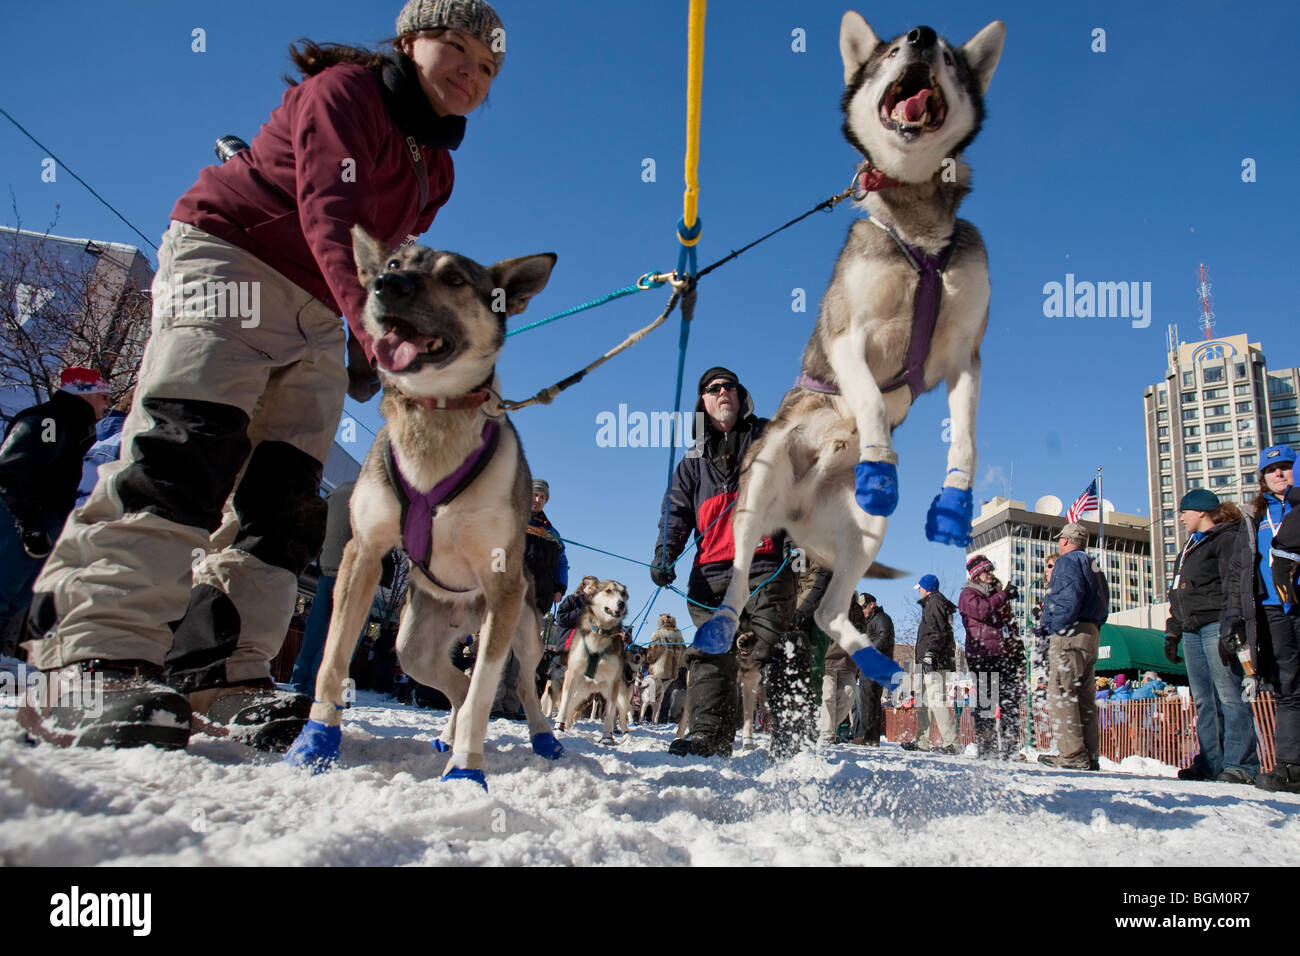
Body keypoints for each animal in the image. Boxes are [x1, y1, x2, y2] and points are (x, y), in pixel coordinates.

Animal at [287, 226, 561, 790]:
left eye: (454, 278)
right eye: (394, 263)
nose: (386, 285)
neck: (437, 418)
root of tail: (464, 611)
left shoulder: (502, 583)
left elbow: (484, 693)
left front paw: (467, 769)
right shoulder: (363, 555)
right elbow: (333, 659)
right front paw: (317, 741)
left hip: (520, 628)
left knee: (520, 687)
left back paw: (541, 739)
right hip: (413, 643)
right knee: (451, 682)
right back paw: (446, 732)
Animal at [691, 13, 1003, 681]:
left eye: (948, 55)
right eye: (890, 50)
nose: (921, 34)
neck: (917, 225)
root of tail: (796, 516)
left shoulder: (965, 355)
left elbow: (965, 435)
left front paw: (955, 502)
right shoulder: (847, 337)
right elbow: (866, 396)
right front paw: (880, 464)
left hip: (864, 532)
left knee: (831, 612)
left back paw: (880, 665)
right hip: (758, 489)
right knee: (738, 580)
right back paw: (724, 623)